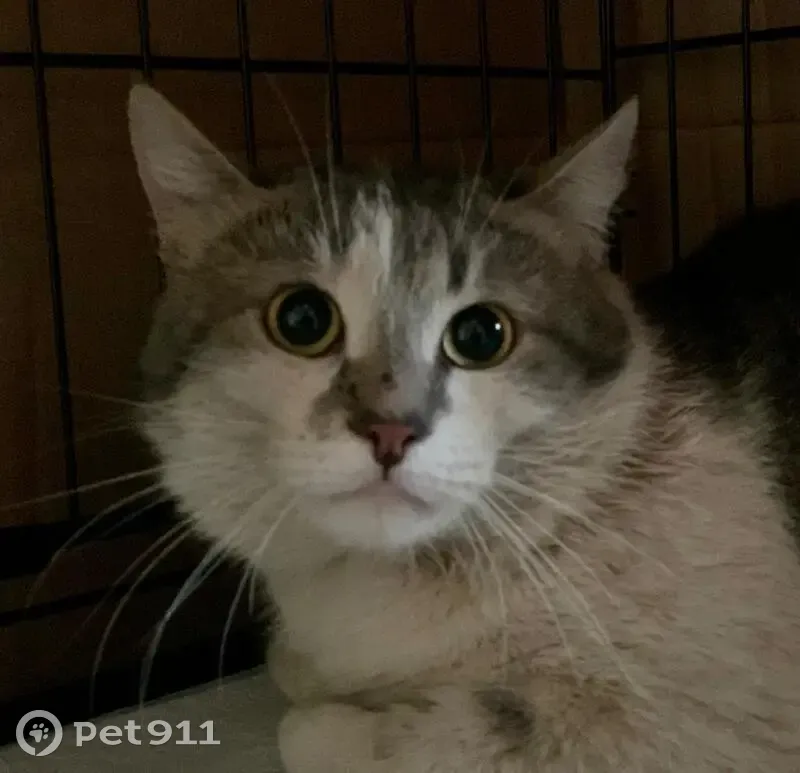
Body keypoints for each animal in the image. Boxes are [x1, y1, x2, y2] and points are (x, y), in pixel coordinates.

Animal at [128, 83, 800, 772]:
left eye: (481, 335)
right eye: (301, 319)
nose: (391, 431)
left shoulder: (691, 726)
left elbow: (316, 731)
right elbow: (290, 664)